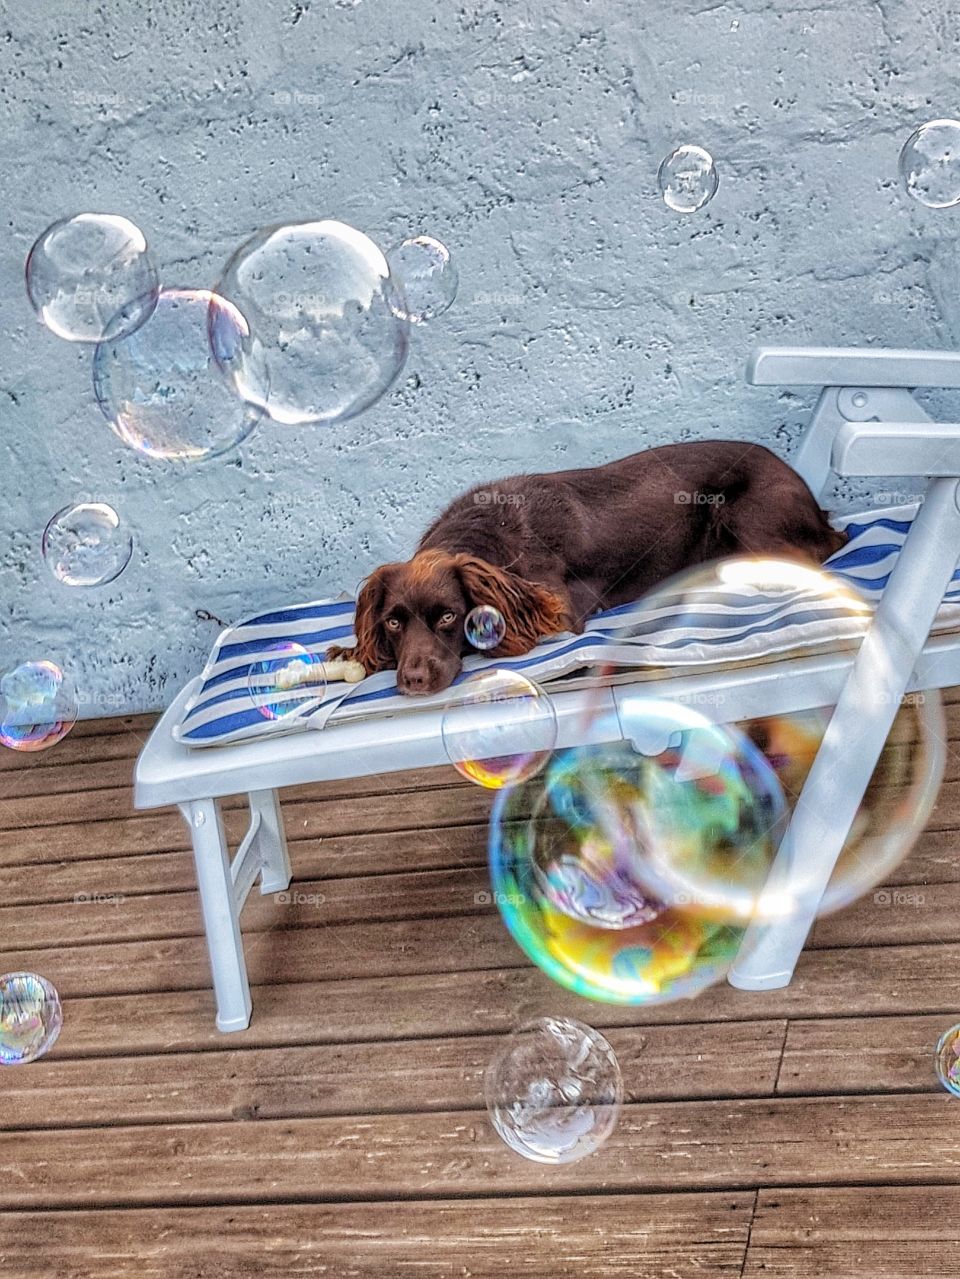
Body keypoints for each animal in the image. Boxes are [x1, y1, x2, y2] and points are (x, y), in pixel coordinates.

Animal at [329, 442, 838, 700]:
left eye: (450, 617)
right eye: (394, 622)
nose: (414, 681)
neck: (484, 532)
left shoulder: (559, 611)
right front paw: (350, 652)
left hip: (748, 524)